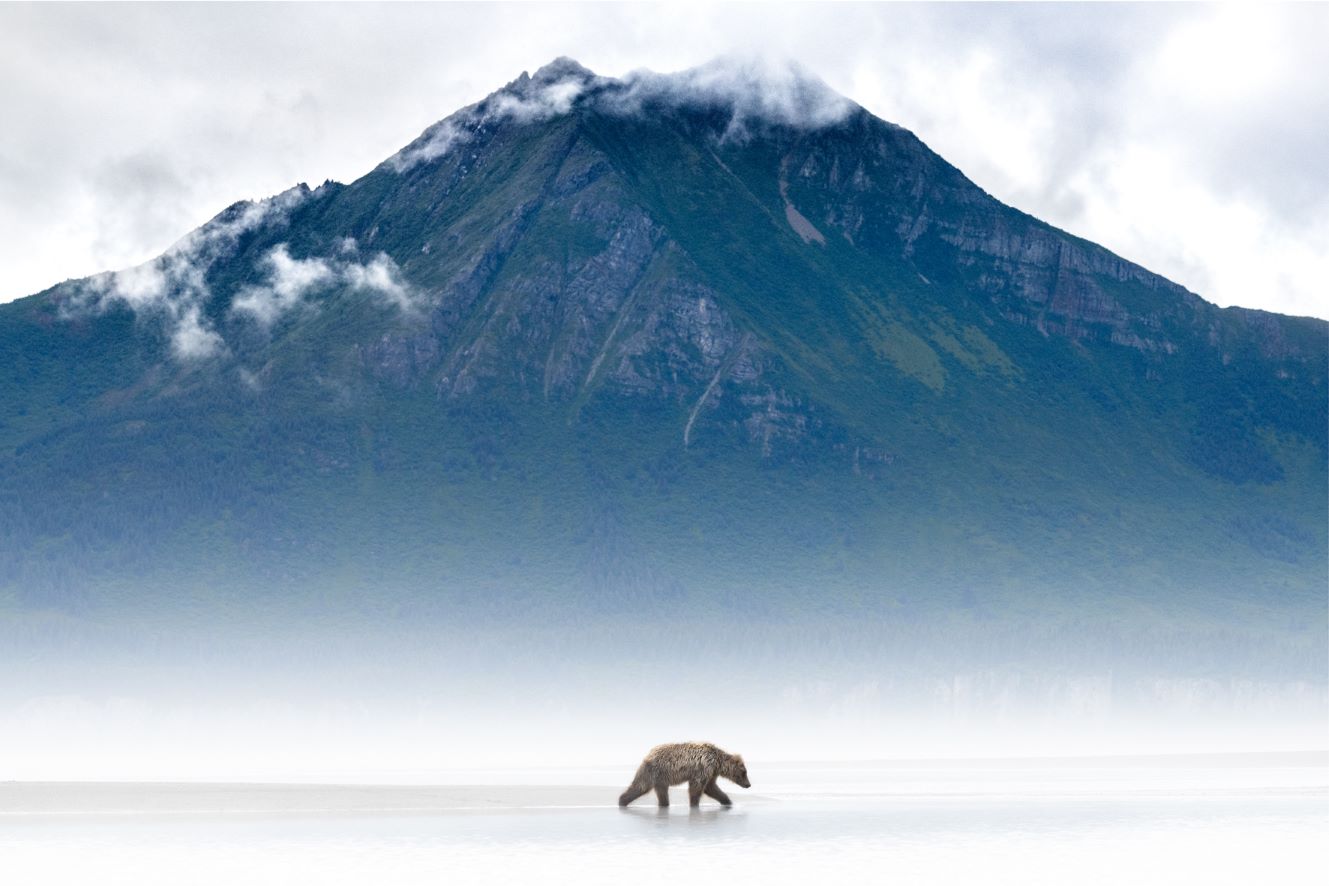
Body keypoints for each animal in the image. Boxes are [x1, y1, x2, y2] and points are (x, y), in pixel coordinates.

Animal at [616, 743, 754, 812]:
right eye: (744, 772)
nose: (748, 784)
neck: (717, 762)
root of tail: (648, 754)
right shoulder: (703, 769)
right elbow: (697, 789)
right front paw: (694, 804)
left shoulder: (711, 773)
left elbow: (711, 788)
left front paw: (728, 801)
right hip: (653, 771)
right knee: (640, 786)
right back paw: (622, 801)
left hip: (661, 779)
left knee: (662, 793)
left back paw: (664, 805)